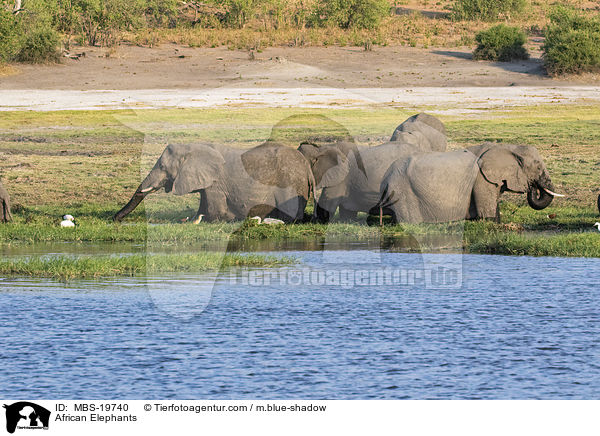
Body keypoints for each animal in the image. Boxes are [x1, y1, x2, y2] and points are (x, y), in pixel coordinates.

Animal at [114, 141, 316, 223]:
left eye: (163, 166)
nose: (115, 218)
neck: (192, 147)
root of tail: (307, 167)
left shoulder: (216, 184)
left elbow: (213, 212)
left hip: (291, 183)